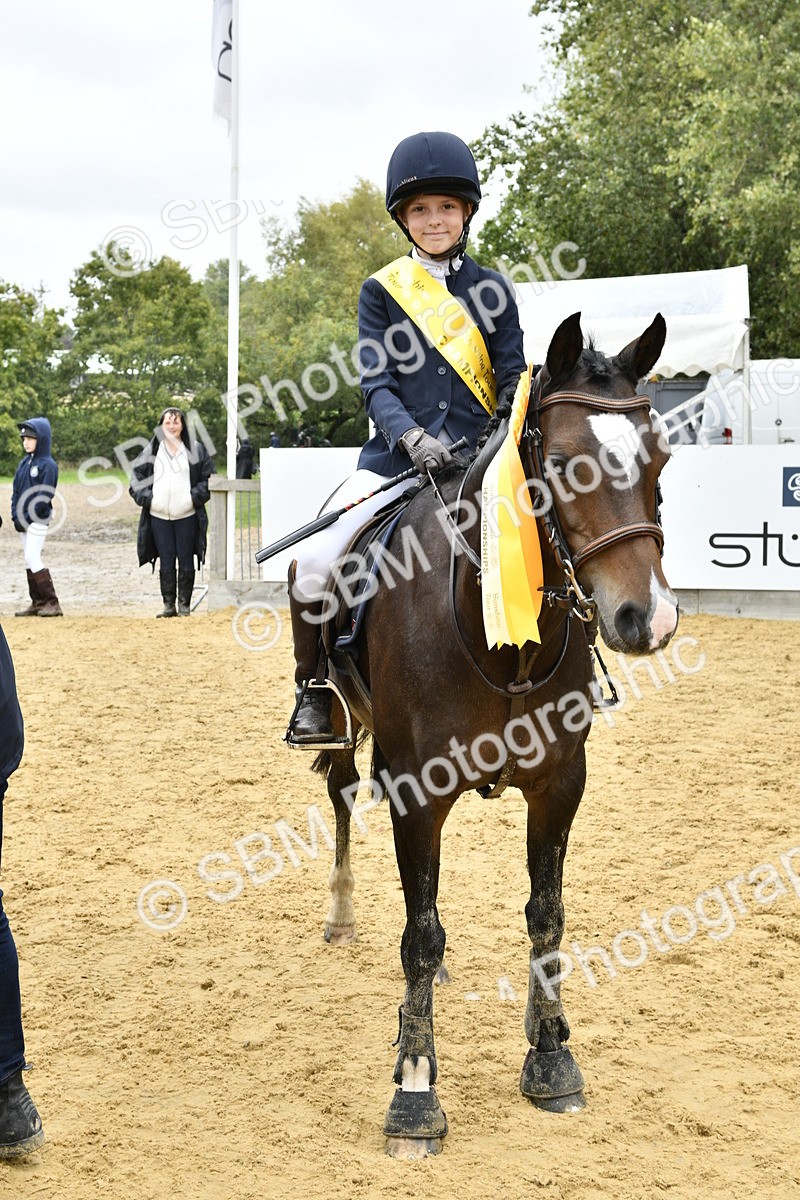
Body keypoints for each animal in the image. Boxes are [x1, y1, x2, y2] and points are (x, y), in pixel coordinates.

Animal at [309, 310, 679, 1158]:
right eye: (567, 464)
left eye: (660, 457)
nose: (648, 618)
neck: (500, 633)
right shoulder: (417, 791)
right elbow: (421, 933)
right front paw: (415, 1091)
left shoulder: (560, 784)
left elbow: (545, 913)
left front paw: (551, 1056)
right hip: (342, 725)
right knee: (344, 799)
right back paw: (342, 917)